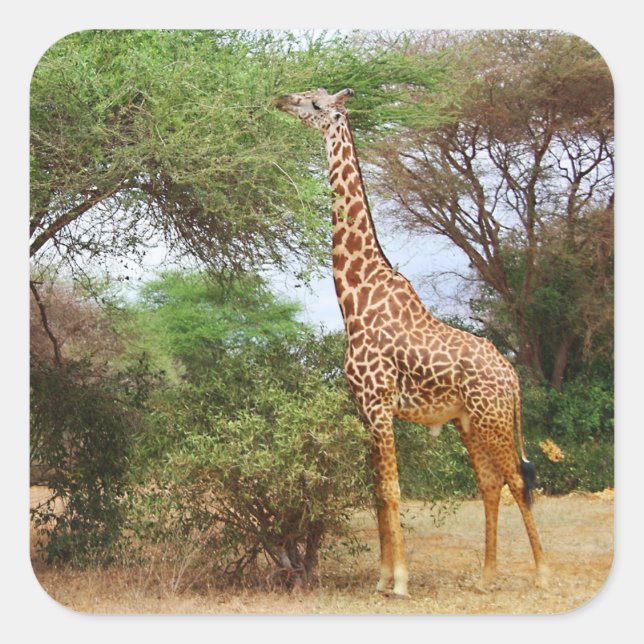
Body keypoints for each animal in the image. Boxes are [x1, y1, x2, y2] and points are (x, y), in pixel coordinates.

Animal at [273, 87, 548, 598]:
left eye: (316, 105)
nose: (282, 99)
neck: (354, 296)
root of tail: (513, 376)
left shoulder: (380, 403)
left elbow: (392, 489)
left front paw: (400, 581)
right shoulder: (363, 407)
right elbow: (376, 493)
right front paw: (383, 578)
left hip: (493, 418)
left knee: (518, 480)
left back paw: (541, 573)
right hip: (469, 421)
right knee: (490, 483)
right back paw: (486, 575)